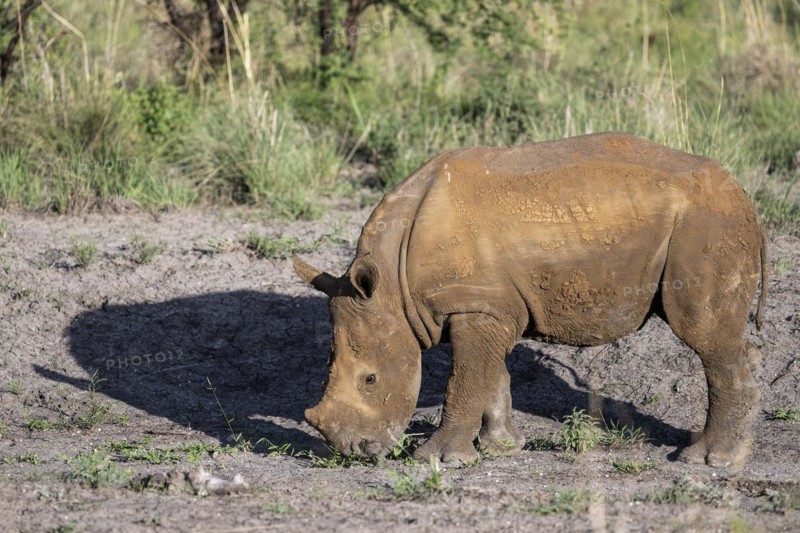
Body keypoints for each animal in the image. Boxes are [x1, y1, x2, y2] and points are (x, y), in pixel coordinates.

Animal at [293, 132, 768, 467]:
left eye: (370, 380)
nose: (353, 451)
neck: (393, 285)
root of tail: (741, 191)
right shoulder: (488, 305)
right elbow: (489, 375)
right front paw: (503, 446)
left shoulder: (476, 306)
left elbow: (464, 379)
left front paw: (438, 458)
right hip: (705, 218)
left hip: (707, 222)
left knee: (704, 335)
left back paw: (706, 460)